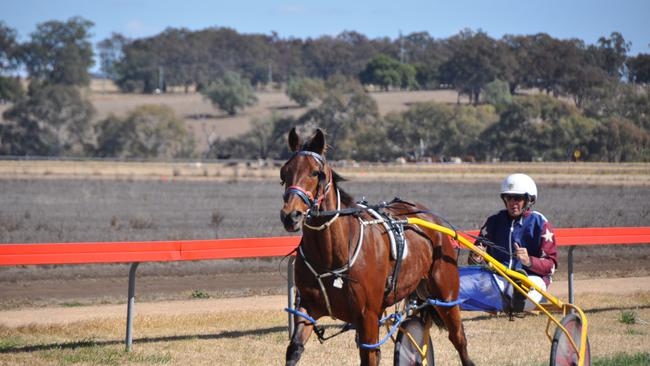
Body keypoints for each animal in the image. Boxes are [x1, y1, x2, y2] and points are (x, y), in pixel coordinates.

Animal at [278, 127, 470, 364]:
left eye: (315, 173)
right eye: (284, 174)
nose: (290, 216)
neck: (331, 255)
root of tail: (430, 217)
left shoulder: (367, 314)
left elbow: (369, 354)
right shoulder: (308, 306)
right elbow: (294, 349)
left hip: (446, 293)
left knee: (458, 337)